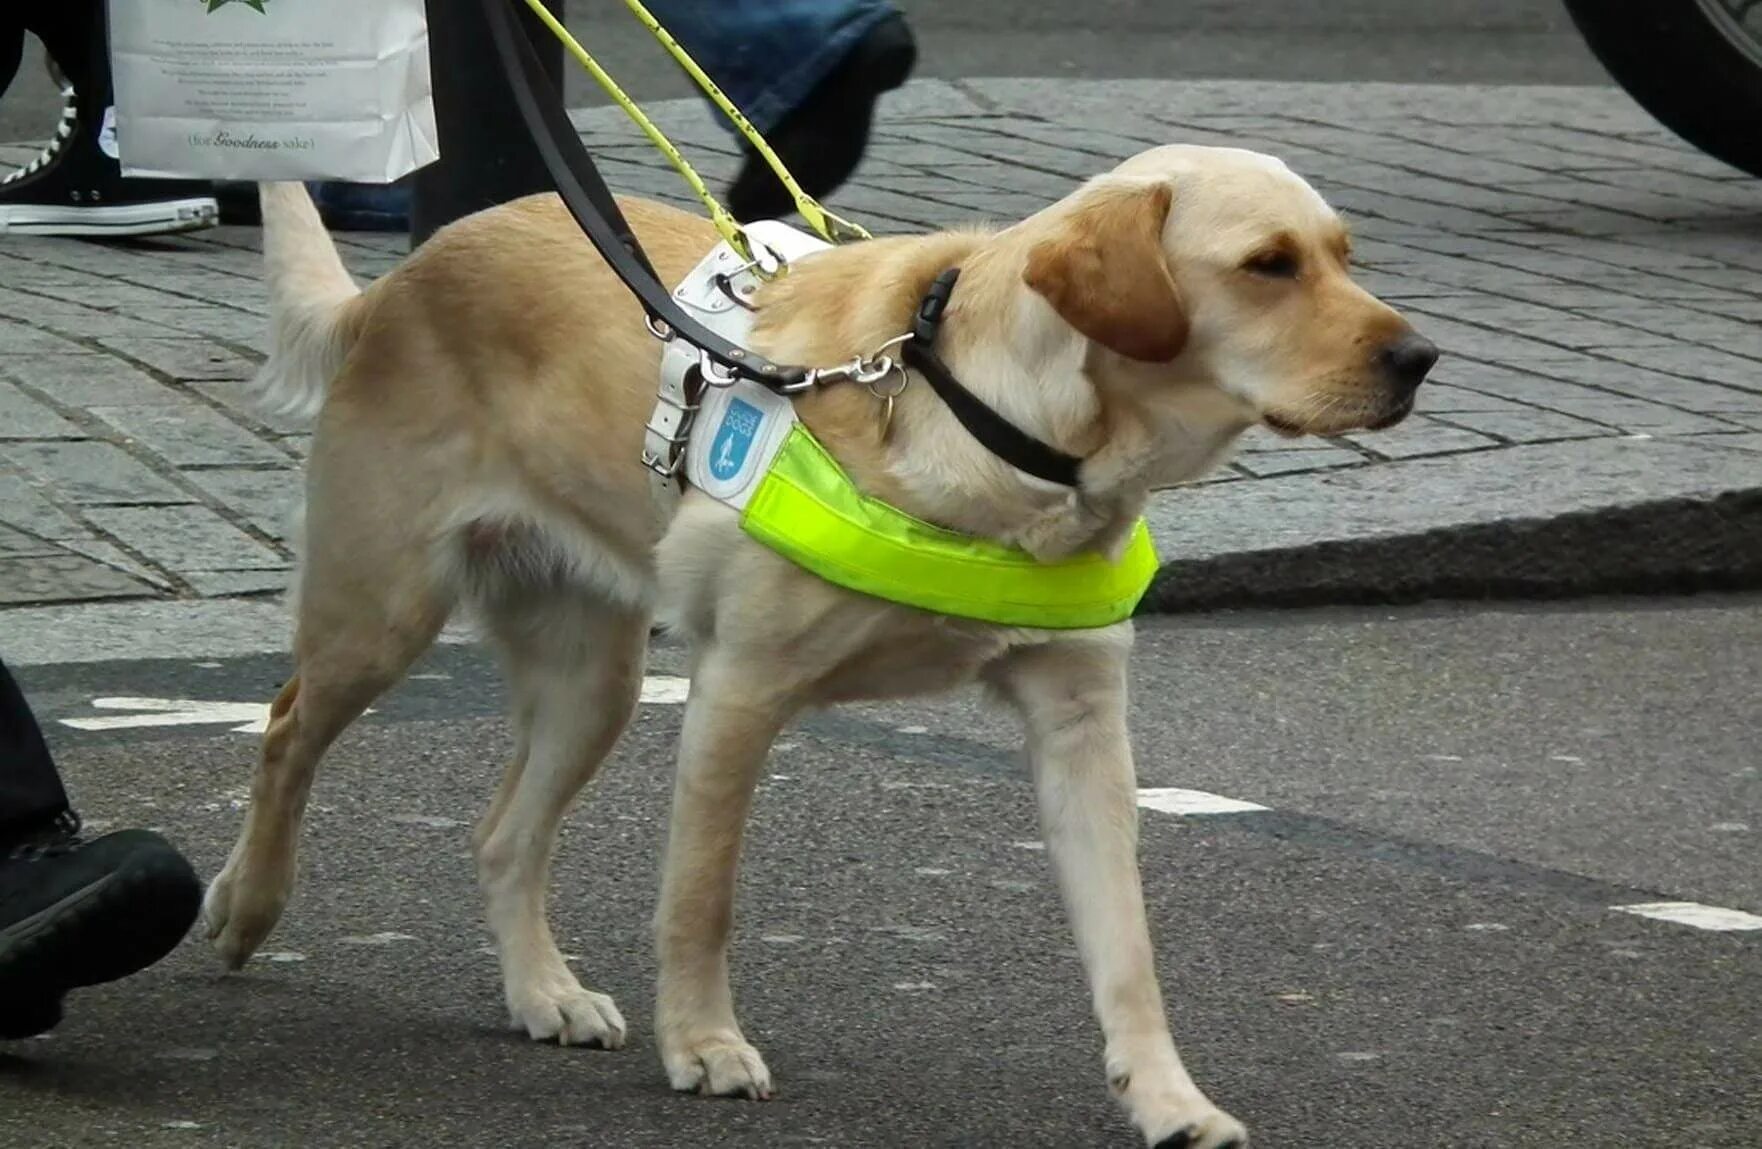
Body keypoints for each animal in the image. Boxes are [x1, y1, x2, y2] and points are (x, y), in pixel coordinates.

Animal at [206, 146, 1437, 1149]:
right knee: (285, 730)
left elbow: (1127, 947)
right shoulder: (737, 694)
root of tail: (406, 274)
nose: (1421, 358)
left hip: (592, 676)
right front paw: (703, 1044)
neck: (997, 428)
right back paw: (247, 903)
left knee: (503, 831)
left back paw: (541, 991)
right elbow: (700, 900)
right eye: (1268, 264)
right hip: (383, 611)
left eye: (1342, 254)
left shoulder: (1082, 728)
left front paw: (1169, 1099)